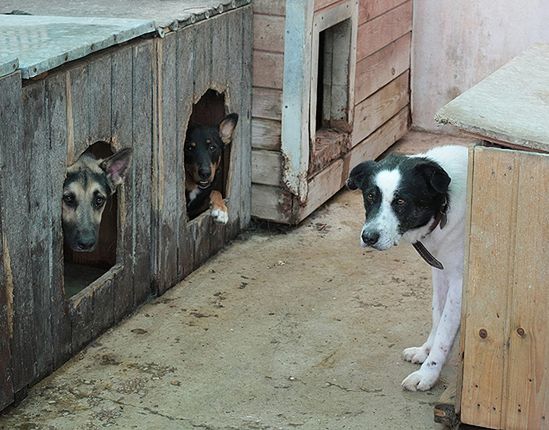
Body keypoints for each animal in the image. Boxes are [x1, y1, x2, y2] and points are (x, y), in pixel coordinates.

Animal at [346, 146, 466, 392]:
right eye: (370, 196)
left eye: (401, 201)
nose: (368, 238)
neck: (445, 204)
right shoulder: (441, 271)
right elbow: (437, 315)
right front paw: (425, 351)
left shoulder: (460, 283)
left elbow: (444, 330)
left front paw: (428, 374)